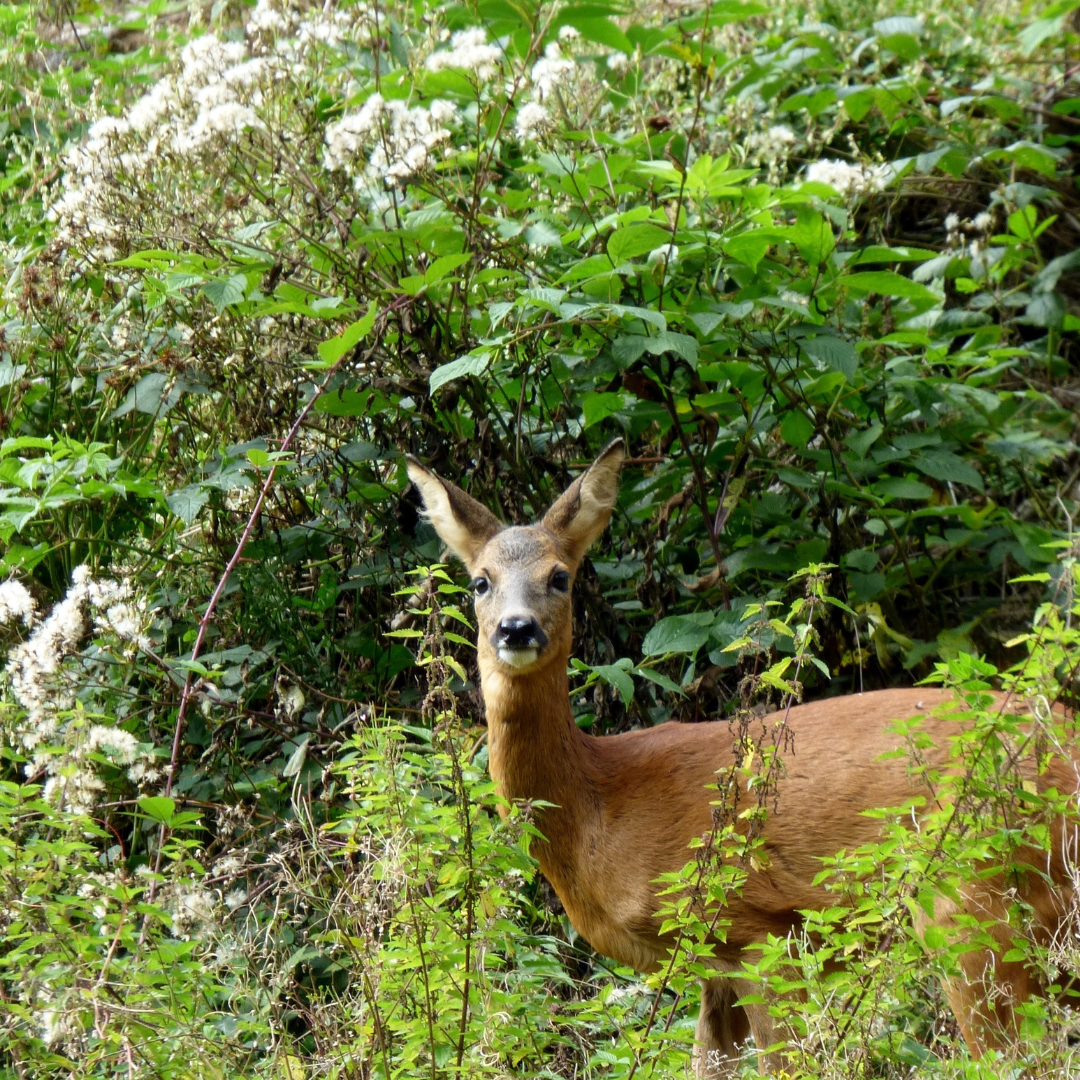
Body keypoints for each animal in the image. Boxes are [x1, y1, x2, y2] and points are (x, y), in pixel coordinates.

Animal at [406, 440, 1080, 1080]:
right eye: (480, 581)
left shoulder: (759, 929)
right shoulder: (710, 967)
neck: (599, 803)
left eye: (560, 577)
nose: (516, 629)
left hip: (973, 902)